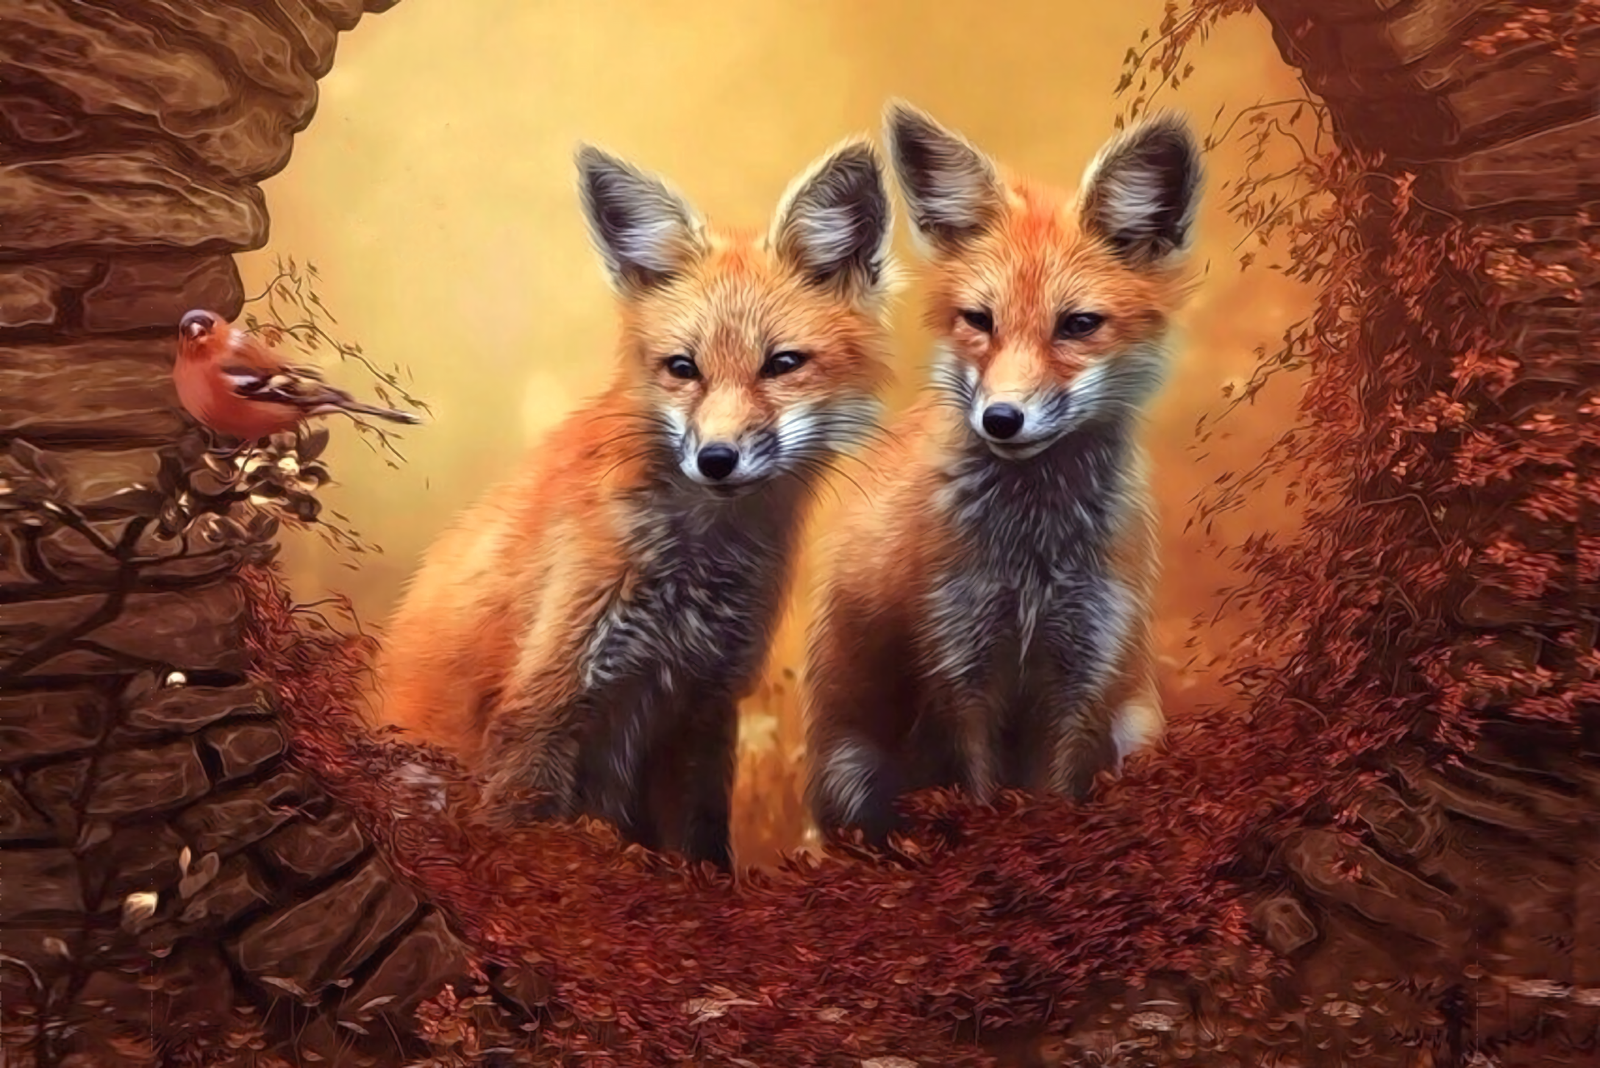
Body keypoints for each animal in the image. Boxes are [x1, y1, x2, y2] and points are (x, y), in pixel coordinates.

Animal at [375, 138, 896, 871]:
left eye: (782, 364)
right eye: (683, 368)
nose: (716, 459)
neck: (692, 578)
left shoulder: (703, 707)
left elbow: (702, 853)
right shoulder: (544, 704)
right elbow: (526, 851)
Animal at [802, 101, 1204, 846]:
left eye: (1078, 325)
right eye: (979, 321)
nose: (1001, 418)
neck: (1032, 560)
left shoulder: (1084, 667)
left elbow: (1056, 794)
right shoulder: (957, 665)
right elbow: (981, 798)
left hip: (1139, 727)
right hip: (851, 774)